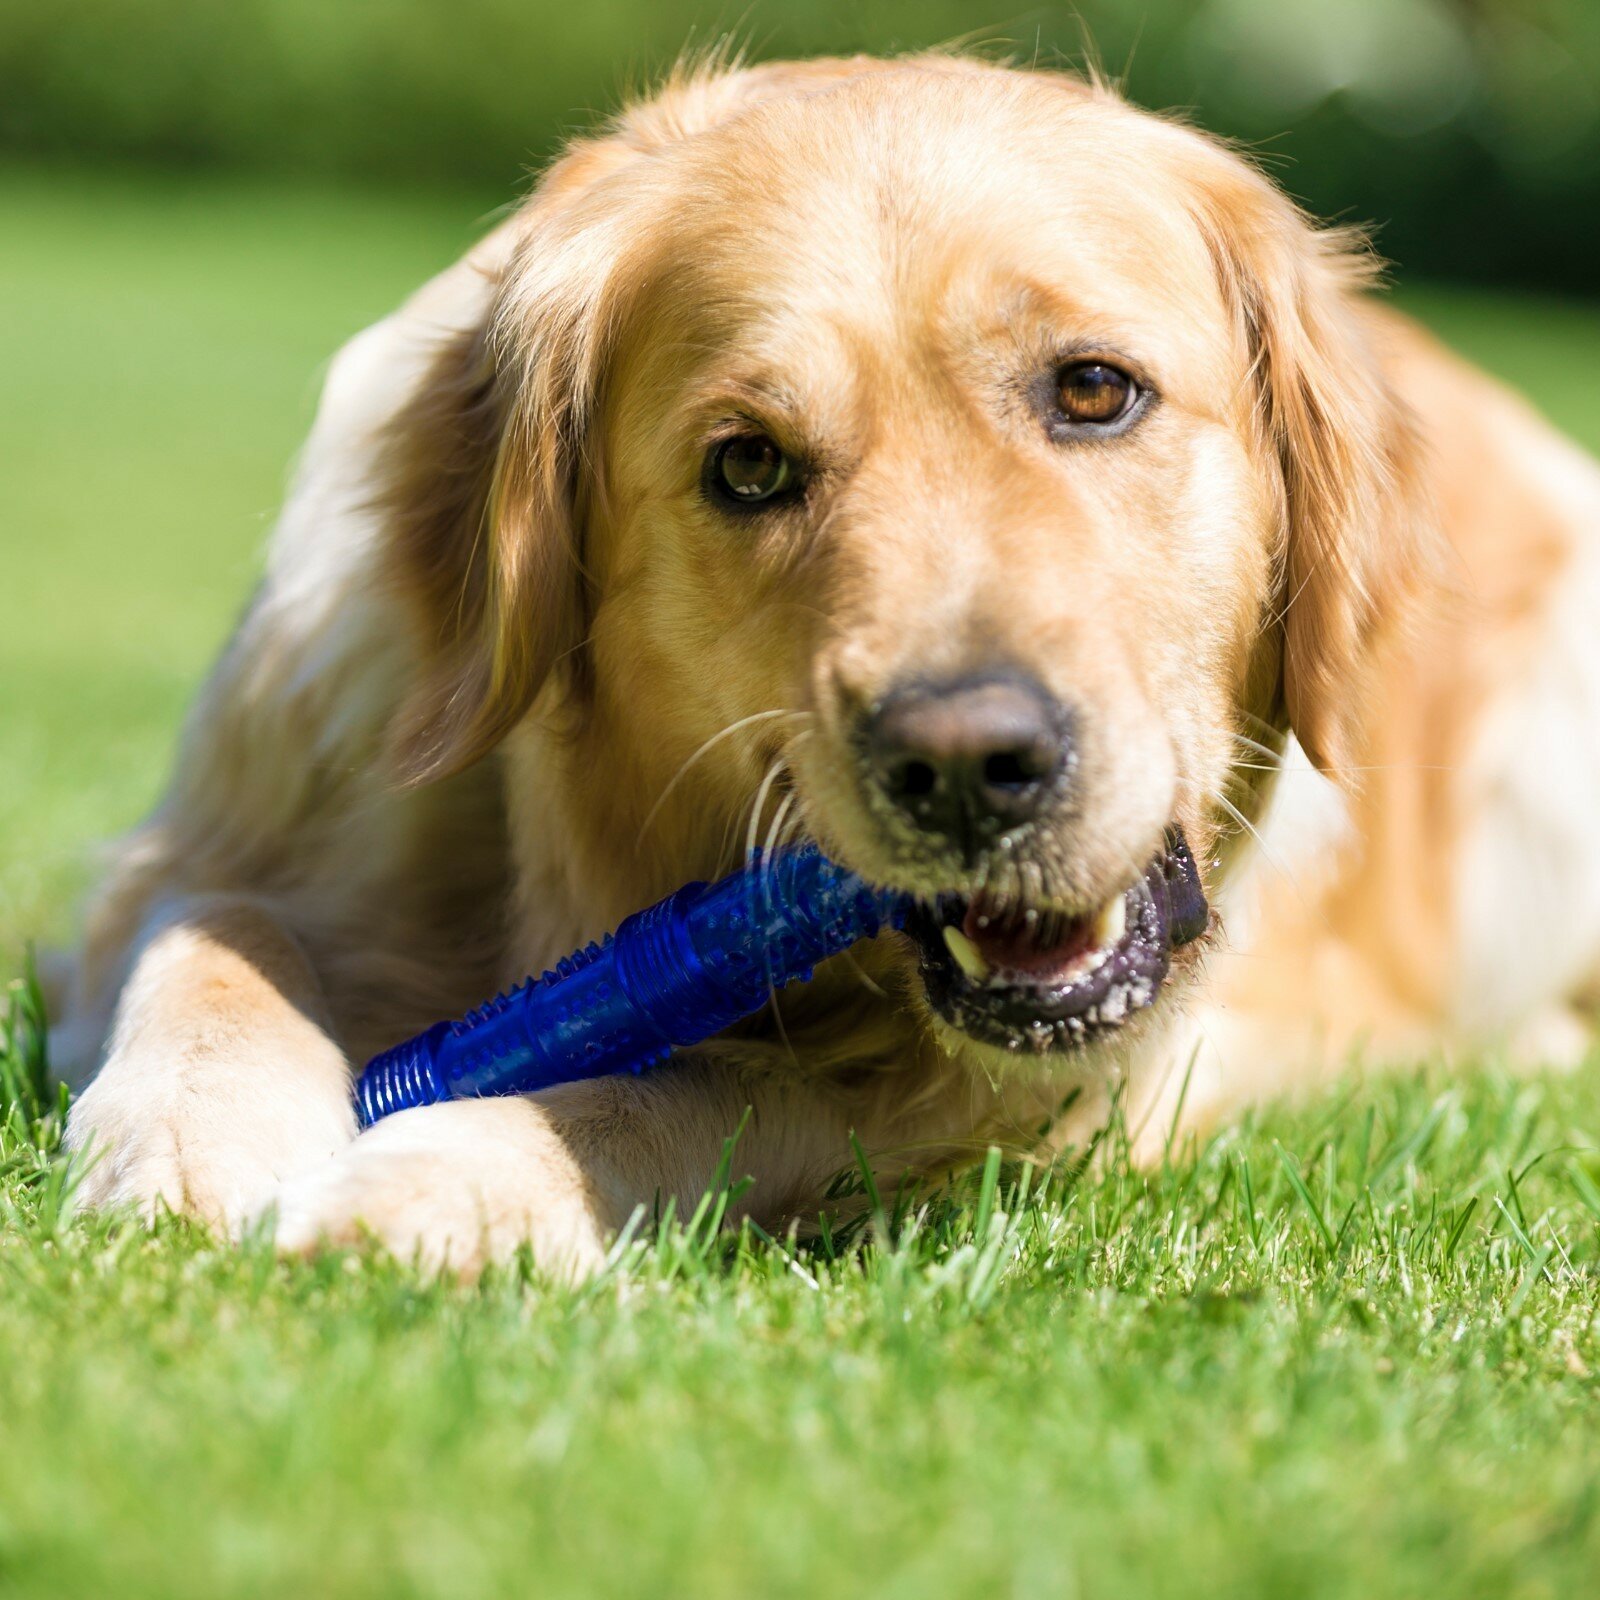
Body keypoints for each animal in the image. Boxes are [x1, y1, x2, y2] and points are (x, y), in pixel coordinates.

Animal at [53, 53, 1600, 1273]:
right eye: (748, 464)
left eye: (1095, 390)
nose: (968, 765)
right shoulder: (217, 834)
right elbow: (218, 933)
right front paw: (192, 1139)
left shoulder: (1052, 1094)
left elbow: (705, 1084)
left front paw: (441, 1173)